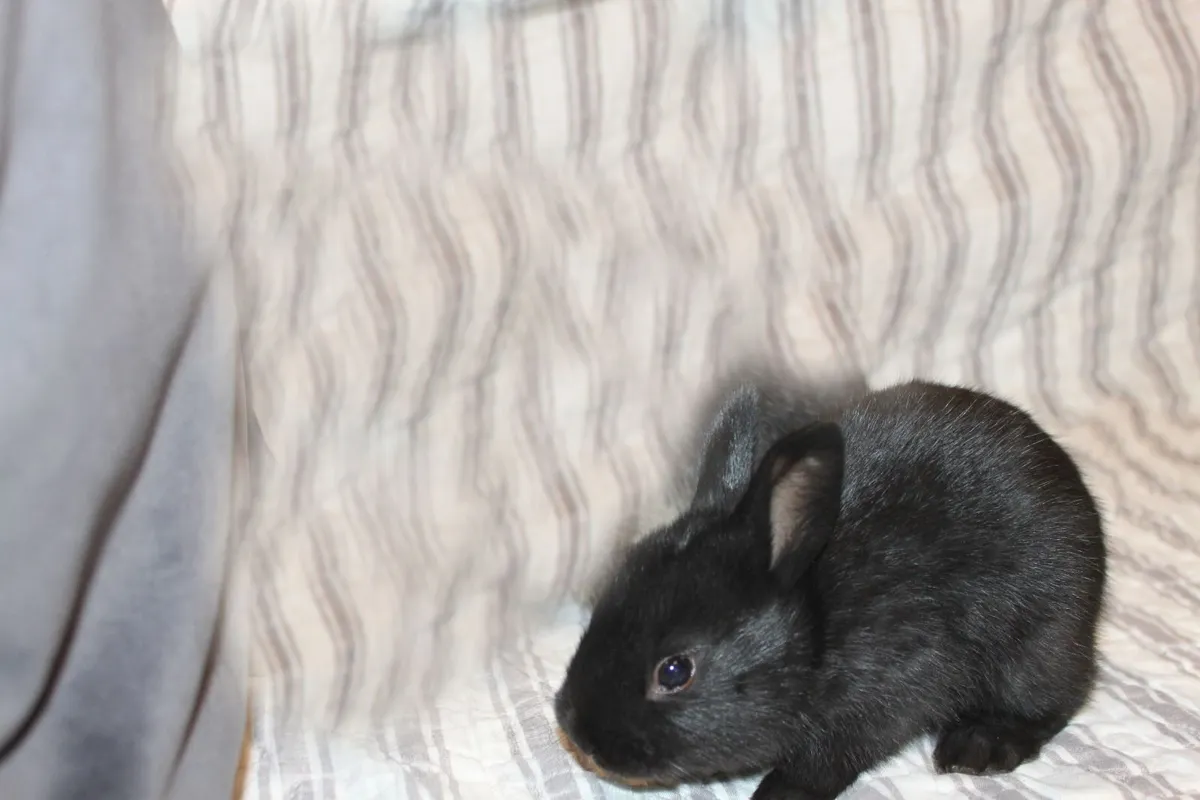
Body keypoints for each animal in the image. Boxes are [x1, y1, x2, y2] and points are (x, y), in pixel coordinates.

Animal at [553, 380, 1107, 800]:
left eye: (674, 672)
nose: (576, 731)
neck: (817, 628)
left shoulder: (889, 692)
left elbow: (822, 764)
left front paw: (777, 795)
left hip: (1040, 641)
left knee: (1056, 699)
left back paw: (979, 747)